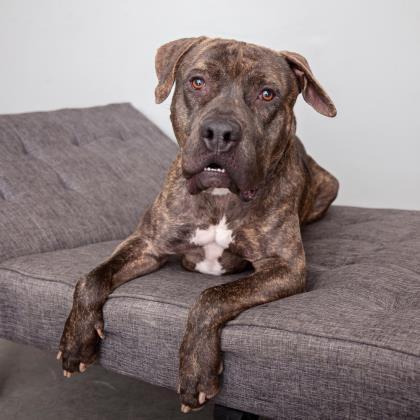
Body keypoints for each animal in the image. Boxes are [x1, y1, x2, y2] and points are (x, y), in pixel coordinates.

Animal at [57, 37, 338, 414]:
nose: (220, 132)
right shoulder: (146, 245)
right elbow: (91, 278)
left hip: (328, 185)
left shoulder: (286, 268)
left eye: (267, 93)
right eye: (197, 82)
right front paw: (76, 341)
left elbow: (212, 297)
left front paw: (196, 372)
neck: (219, 198)